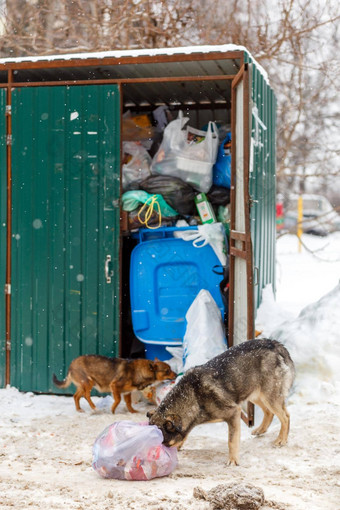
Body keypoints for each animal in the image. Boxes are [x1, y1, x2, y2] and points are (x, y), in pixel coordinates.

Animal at [148, 338, 294, 466]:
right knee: (269, 412)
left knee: (285, 416)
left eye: (163, 444)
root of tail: (275, 344)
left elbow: (231, 441)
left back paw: (281, 440)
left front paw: (233, 460)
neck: (194, 397)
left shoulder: (234, 413)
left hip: (269, 396)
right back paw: (261, 430)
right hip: (254, 393)